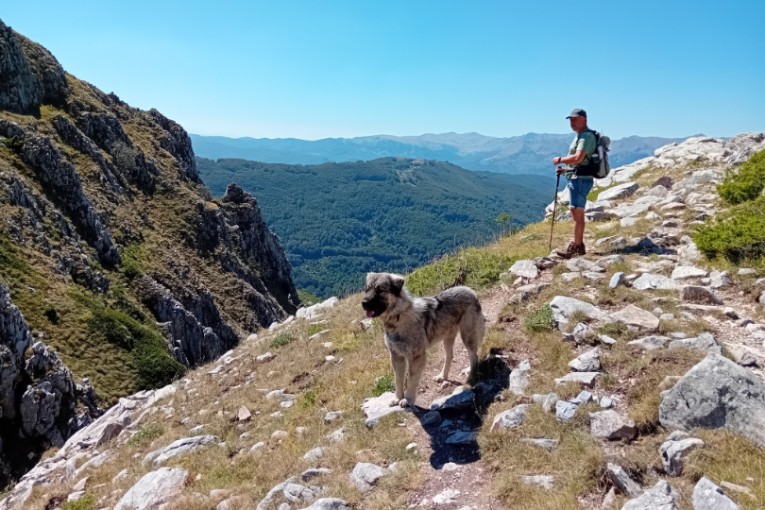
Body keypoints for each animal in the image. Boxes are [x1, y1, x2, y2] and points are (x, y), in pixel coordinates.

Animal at [362, 272, 484, 408]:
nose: (363, 303)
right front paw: (398, 398)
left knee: (473, 355)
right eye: (367, 290)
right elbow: (398, 380)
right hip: (447, 337)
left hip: (467, 335)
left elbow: (411, 379)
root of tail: (470, 291)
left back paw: (471, 375)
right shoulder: (396, 356)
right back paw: (442, 376)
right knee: (450, 356)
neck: (398, 318)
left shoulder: (416, 356)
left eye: (379, 290)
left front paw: (408, 399)